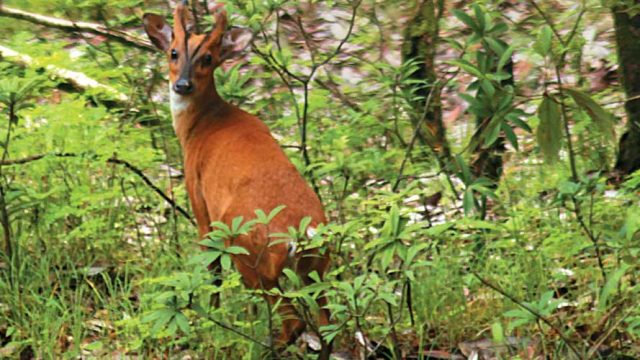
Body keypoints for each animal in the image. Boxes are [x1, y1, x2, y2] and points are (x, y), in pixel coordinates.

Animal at [142, 0, 332, 354]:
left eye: (207, 58)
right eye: (173, 52)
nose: (182, 85)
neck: (201, 125)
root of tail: (301, 234)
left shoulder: (198, 196)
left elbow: (212, 265)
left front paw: (212, 315)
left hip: (251, 254)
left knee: (294, 321)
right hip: (317, 266)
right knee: (329, 326)